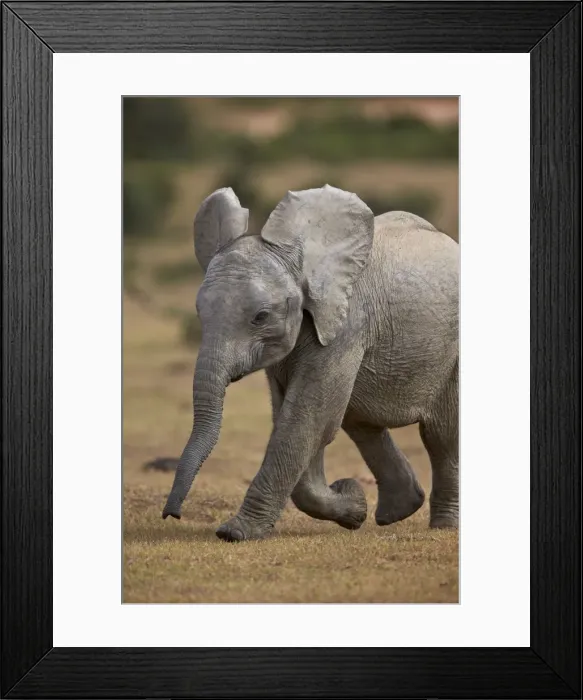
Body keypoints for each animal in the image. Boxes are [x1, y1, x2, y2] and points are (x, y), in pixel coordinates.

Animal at [162, 184, 459, 542]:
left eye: (261, 317)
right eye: (199, 314)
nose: (171, 514)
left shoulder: (346, 324)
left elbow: (306, 419)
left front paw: (235, 533)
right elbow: (300, 420)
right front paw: (353, 507)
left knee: (441, 436)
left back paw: (444, 525)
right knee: (361, 422)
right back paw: (396, 511)